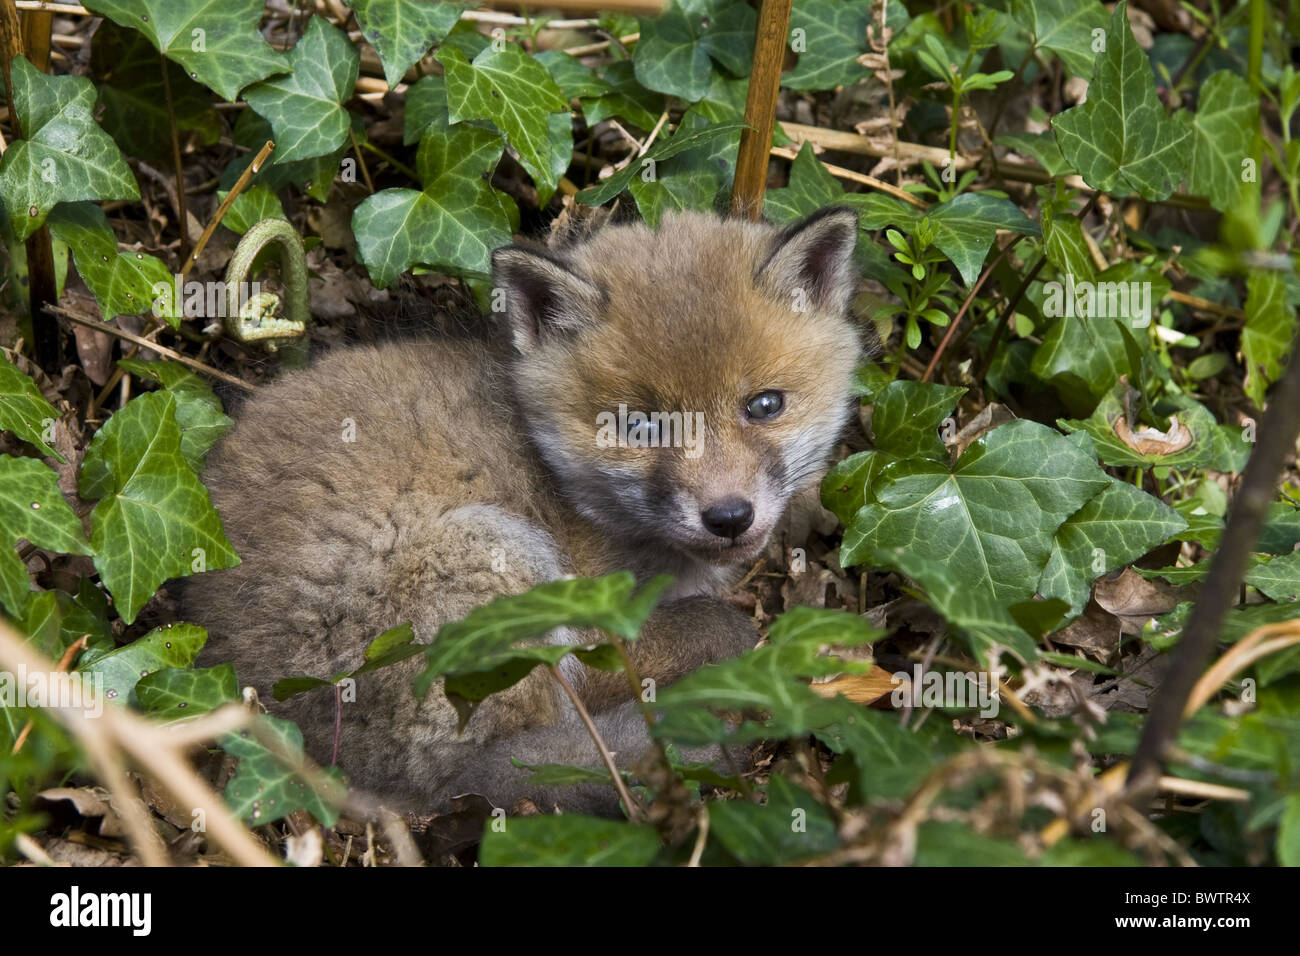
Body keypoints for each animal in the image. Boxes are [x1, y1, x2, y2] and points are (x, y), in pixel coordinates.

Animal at [184, 206, 865, 816]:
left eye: (765, 405)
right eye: (640, 426)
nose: (728, 517)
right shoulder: (596, 627)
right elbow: (719, 627)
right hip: (495, 567)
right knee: (496, 770)